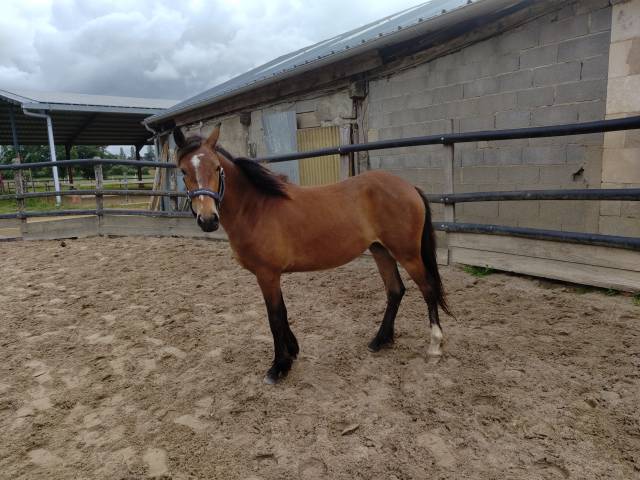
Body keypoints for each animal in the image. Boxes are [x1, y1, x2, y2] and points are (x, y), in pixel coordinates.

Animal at [173, 124, 451, 384]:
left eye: (217, 168)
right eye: (183, 171)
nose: (208, 219)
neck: (255, 209)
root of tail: (409, 187)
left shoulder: (267, 274)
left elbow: (274, 316)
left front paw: (278, 367)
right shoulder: (272, 275)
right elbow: (283, 312)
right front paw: (292, 352)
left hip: (407, 253)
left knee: (427, 289)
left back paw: (435, 346)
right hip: (380, 250)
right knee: (395, 290)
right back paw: (380, 341)